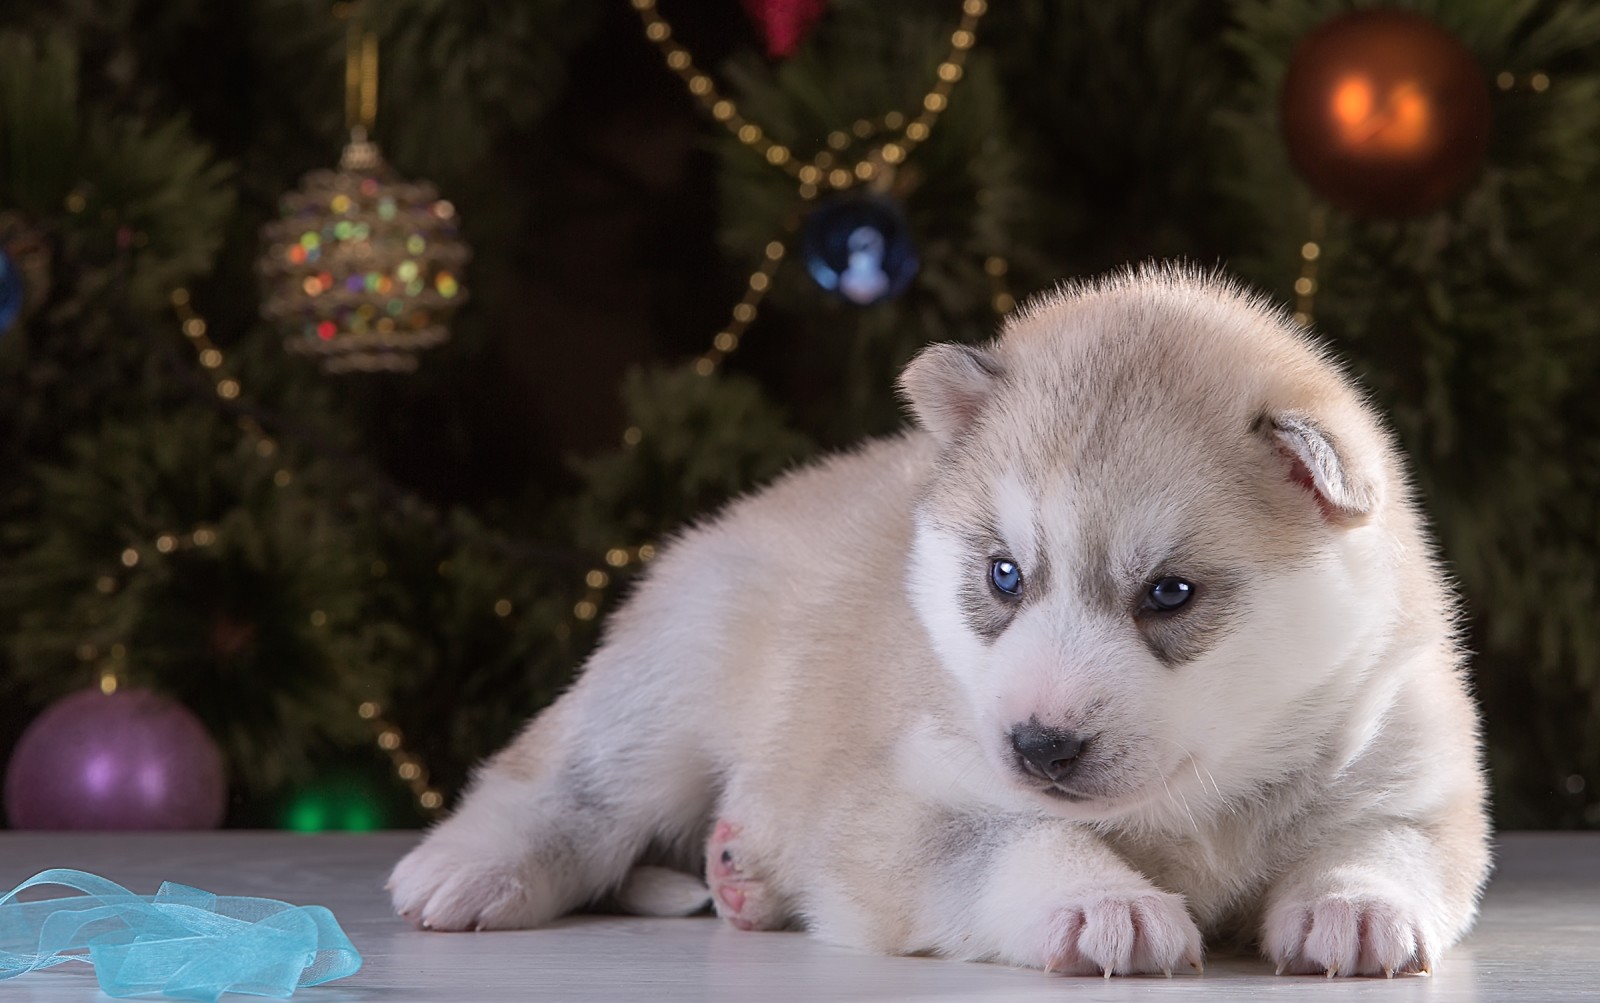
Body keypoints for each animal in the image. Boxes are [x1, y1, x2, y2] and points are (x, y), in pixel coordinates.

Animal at [393, 268, 1491, 979]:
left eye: (1169, 594)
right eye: (1004, 576)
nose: (1041, 744)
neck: (1199, 802)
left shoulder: (1409, 772)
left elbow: (1383, 842)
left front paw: (1357, 905)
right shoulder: (909, 799)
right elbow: (1018, 840)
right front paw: (1103, 900)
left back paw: (743, 872)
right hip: (667, 684)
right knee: (564, 779)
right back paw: (470, 867)